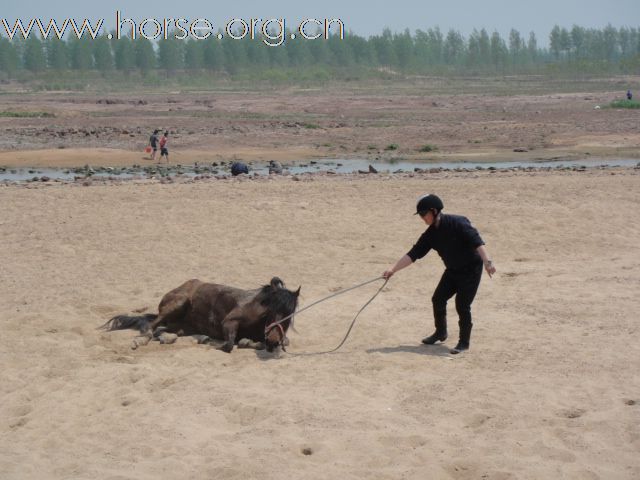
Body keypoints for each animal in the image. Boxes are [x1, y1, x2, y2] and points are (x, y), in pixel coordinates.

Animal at [100, 278, 300, 352]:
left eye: (289, 314)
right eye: (272, 311)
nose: (273, 341)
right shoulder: (229, 321)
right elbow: (229, 344)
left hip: (181, 326)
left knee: (163, 331)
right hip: (178, 303)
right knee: (151, 327)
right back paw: (140, 341)